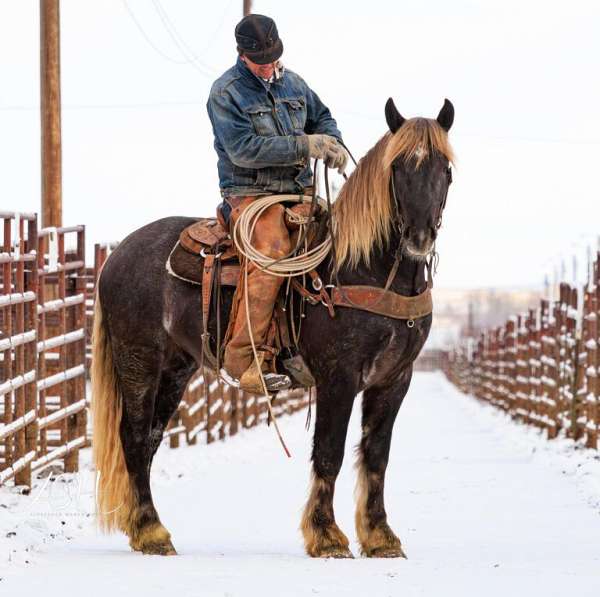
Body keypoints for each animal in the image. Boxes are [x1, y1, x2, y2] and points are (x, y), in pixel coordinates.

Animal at [91, 95, 452, 556]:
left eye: (445, 170)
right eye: (398, 168)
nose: (419, 238)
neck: (366, 269)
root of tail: (117, 256)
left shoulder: (394, 379)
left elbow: (376, 456)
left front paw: (380, 537)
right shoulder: (339, 378)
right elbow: (329, 452)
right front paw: (327, 535)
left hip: (176, 368)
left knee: (151, 438)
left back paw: (145, 528)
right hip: (139, 360)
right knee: (134, 438)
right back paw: (152, 532)